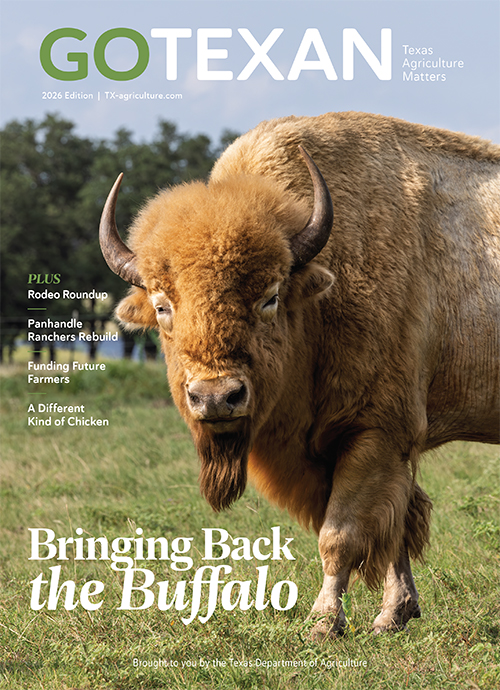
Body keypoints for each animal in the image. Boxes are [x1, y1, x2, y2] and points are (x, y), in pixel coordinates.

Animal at [99, 111, 500, 638]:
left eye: (270, 296)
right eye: (163, 306)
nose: (216, 398)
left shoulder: (377, 434)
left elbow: (342, 533)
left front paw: (324, 622)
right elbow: (396, 528)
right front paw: (394, 614)